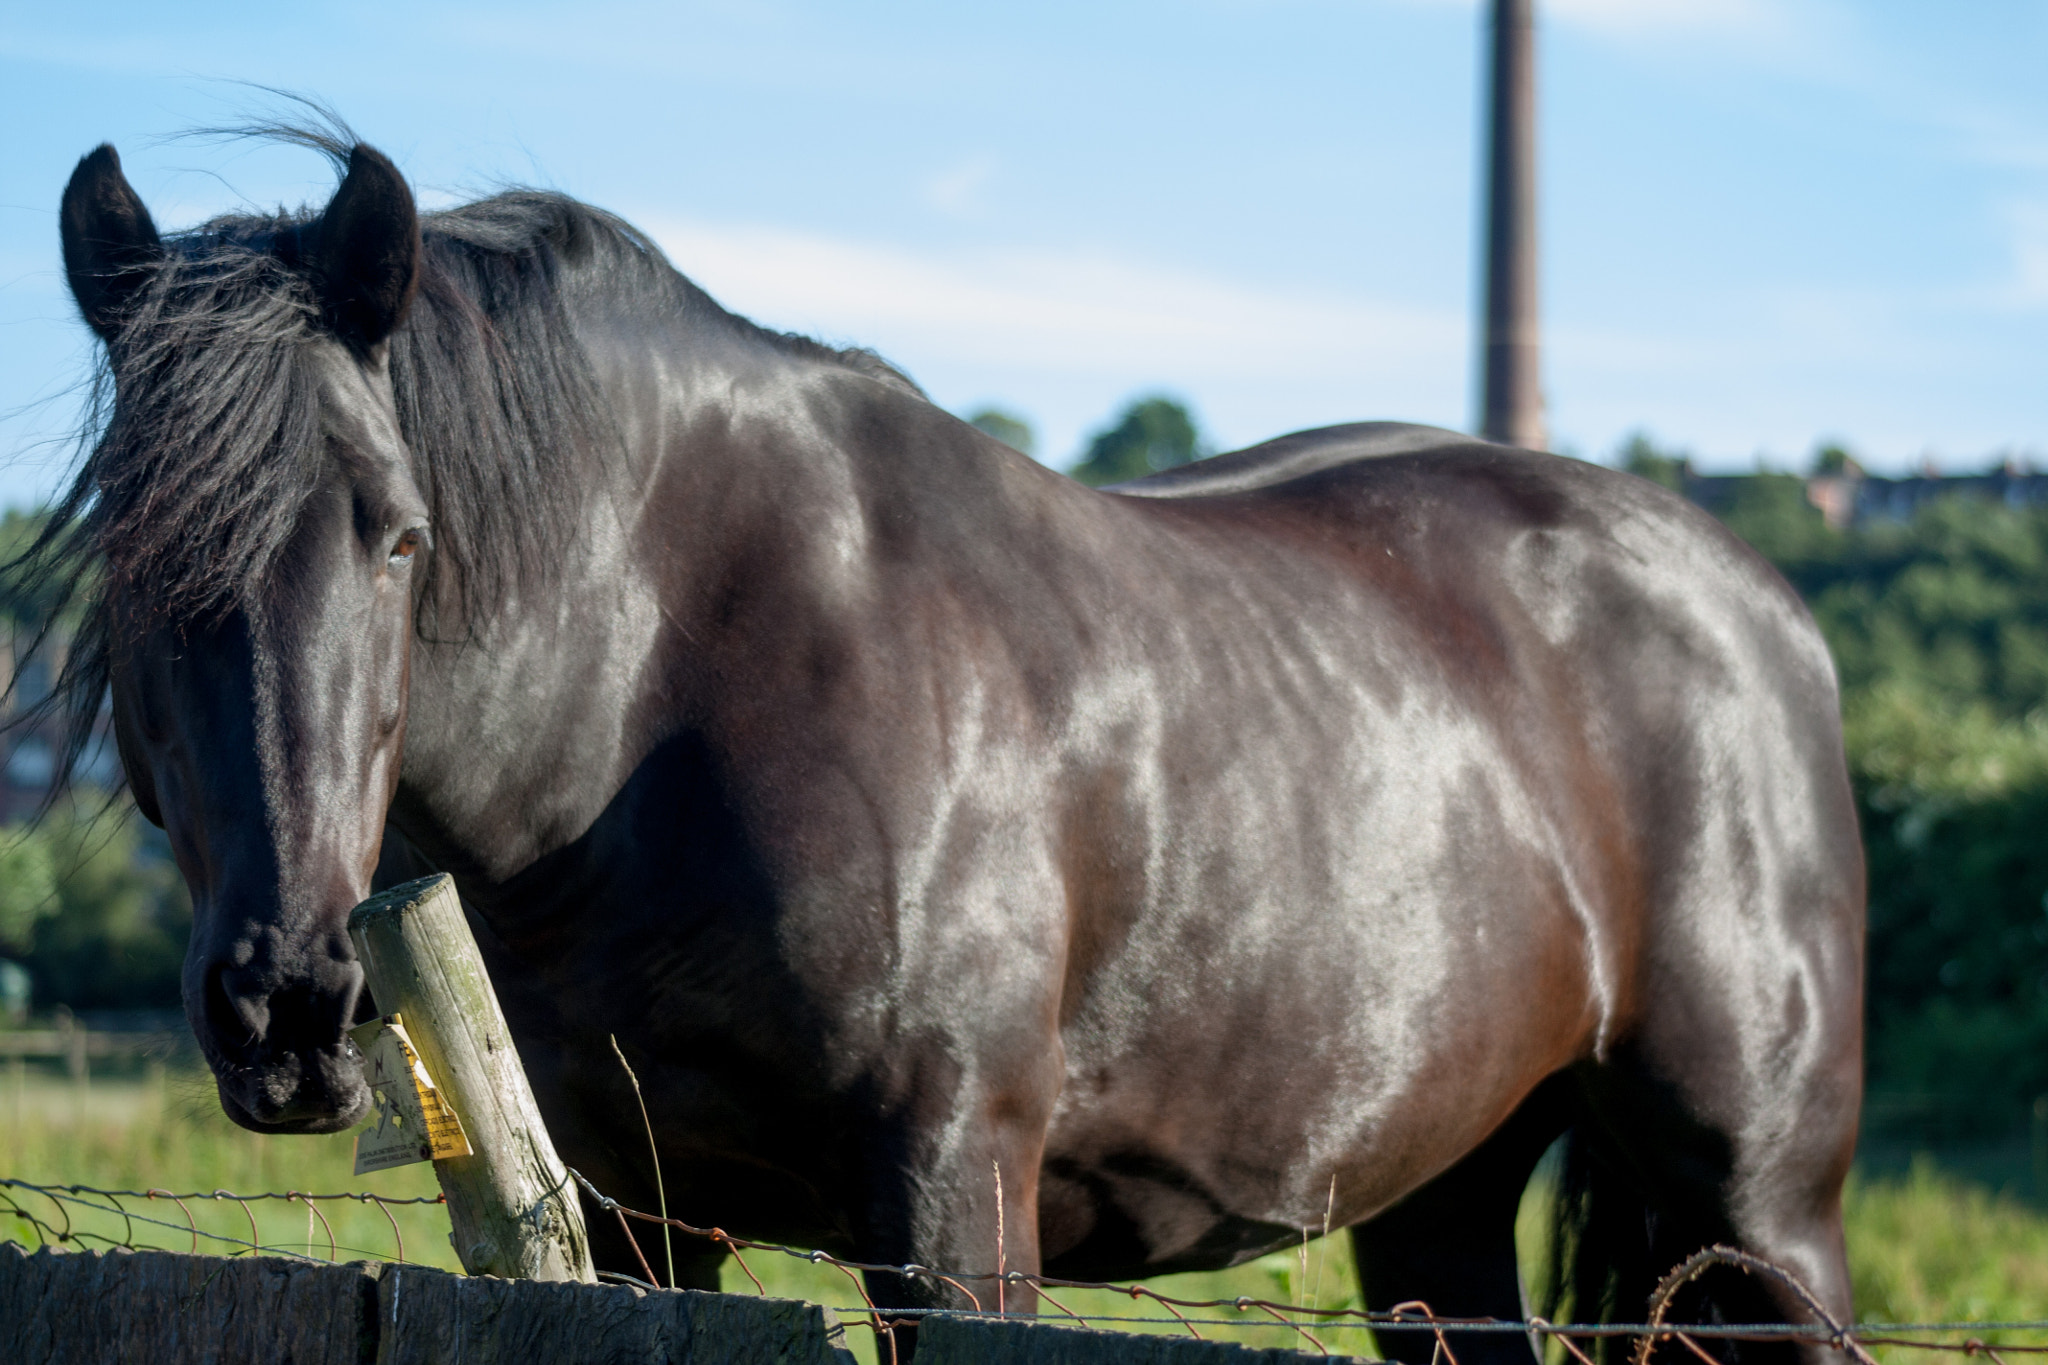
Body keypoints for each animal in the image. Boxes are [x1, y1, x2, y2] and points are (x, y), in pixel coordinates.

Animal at [36, 125, 1859, 1358]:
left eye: (398, 537)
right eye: (129, 547)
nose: (289, 1001)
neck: (670, 706)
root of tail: (1766, 613)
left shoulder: (951, 1198)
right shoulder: (636, 1214)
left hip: (1764, 1215)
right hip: (1440, 1205)